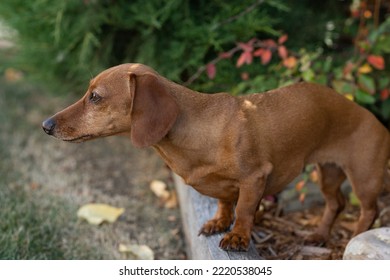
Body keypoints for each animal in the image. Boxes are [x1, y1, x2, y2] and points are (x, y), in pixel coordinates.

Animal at [42, 63, 390, 252]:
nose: (46, 125)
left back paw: (354, 237)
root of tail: (372, 117)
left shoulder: (255, 178)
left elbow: (245, 209)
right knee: (336, 204)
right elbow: (225, 203)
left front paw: (237, 236)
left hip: (363, 176)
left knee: (369, 210)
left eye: (95, 97)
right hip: (328, 172)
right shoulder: (223, 186)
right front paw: (220, 222)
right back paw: (319, 235)